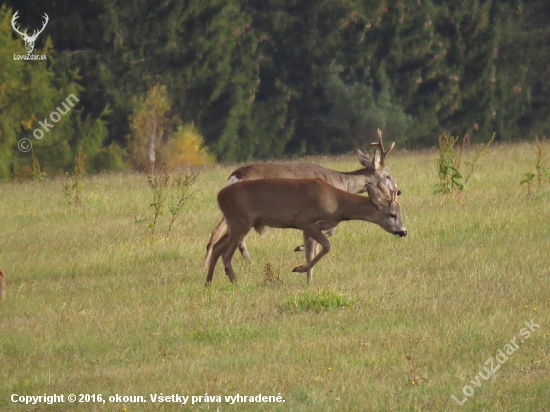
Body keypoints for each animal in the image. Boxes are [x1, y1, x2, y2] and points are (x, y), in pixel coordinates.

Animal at [204, 130, 402, 268]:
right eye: (387, 175)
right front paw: (300, 248)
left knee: (217, 233)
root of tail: (234, 176)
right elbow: (330, 232)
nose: (398, 191)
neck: (340, 183)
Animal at [205, 179, 408, 284]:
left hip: (234, 224)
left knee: (217, 248)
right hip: (240, 221)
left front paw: (308, 280)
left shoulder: (306, 227)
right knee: (226, 254)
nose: (403, 231)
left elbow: (310, 252)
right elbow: (326, 246)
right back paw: (235, 282)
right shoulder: (307, 221)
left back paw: (208, 283)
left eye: (400, 212)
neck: (336, 204)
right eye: (391, 214)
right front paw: (299, 269)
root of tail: (219, 195)